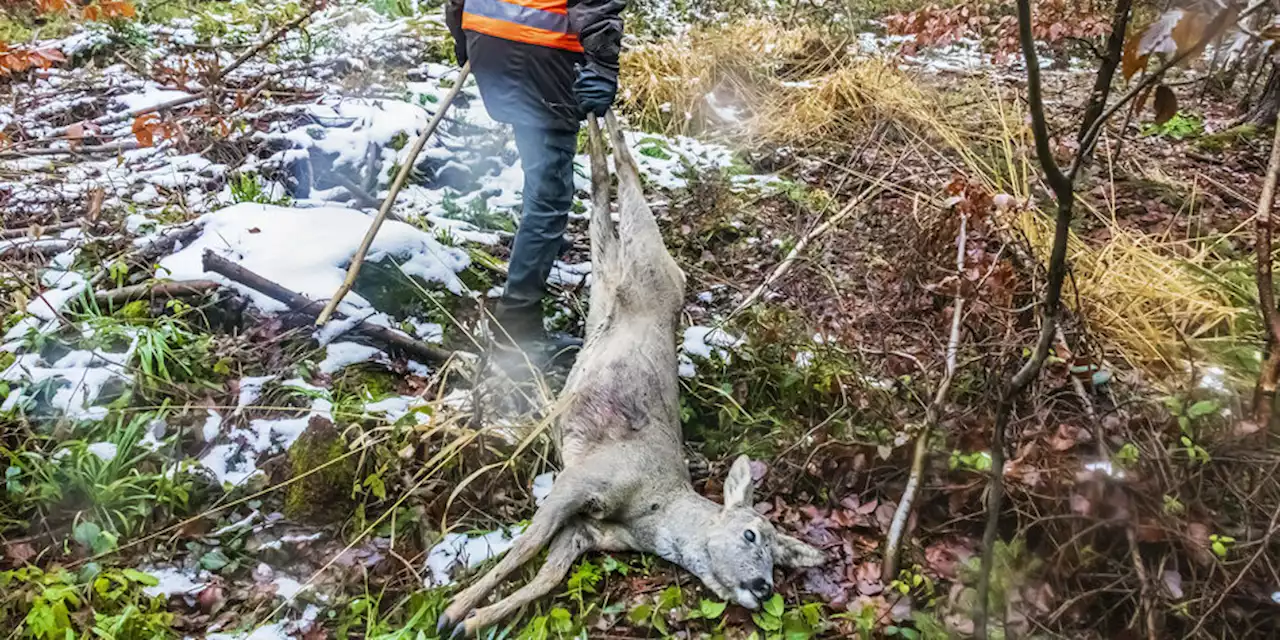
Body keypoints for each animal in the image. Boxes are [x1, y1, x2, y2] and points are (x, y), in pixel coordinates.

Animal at [437, 113, 819, 634]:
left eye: (779, 559)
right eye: (750, 535)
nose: (763, 588)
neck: (646, 510)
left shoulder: (586, 532)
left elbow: (545, 578)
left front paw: (473, 619)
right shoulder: (583, 478)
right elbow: (525, 547)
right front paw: (453, 609)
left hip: (607, 272)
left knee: (601, 200)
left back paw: (595, 120)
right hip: (645, 254)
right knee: (627, 178)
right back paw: (606, 114)